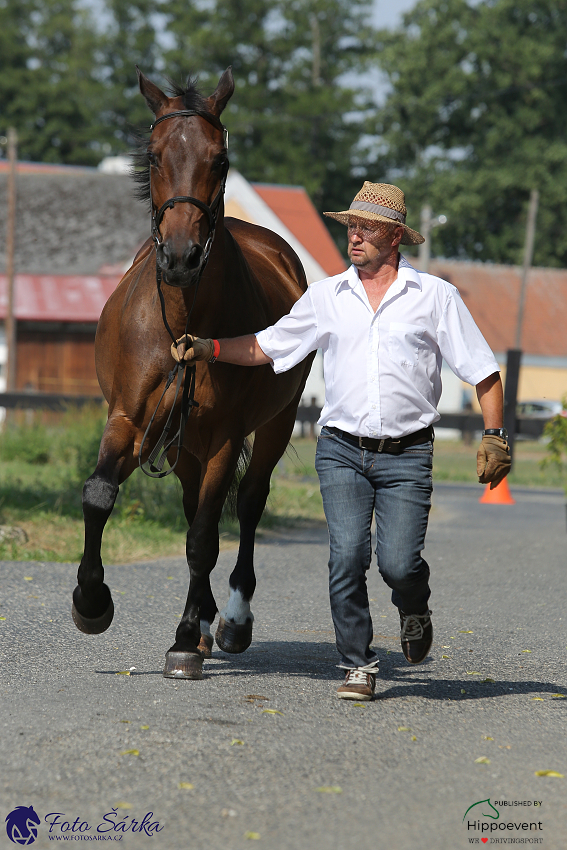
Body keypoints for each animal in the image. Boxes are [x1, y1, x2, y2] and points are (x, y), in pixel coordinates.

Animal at [71, 66, 315, 680]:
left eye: (219, 159)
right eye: (155, 156)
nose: (180, 257)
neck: (184, 326)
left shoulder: (227, 435)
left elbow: (206, 535)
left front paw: (184, 638)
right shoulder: (131, 418)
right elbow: (99, 493)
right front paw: (92, 602)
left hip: (274, 425)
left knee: (247, 504)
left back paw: (228, 621)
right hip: (183, 444)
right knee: (189, 504)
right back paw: (204, 619)